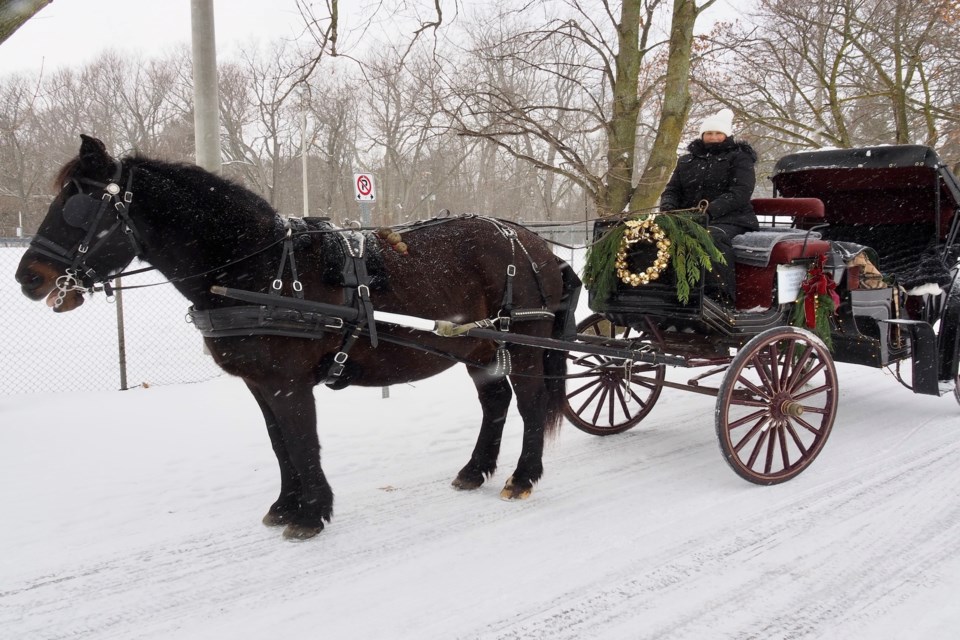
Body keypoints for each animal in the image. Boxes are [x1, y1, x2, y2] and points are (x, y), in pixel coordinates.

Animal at [13, 135, 576, 540]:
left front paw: (311, 515)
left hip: (524, 344)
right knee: (495, 404)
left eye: (79, 208)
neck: (260, 269)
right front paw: (285, 506)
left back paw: (522, 477)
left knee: (529, 405)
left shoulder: (287, 382)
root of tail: (534, 243)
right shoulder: (260, 383)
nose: (27, 277)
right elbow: (279, 442)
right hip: (476, 347)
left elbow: (303, 440)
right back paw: (475, 470)